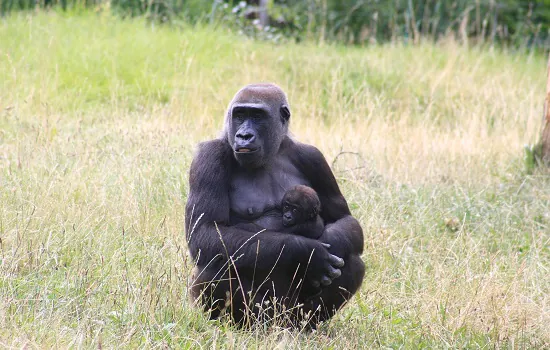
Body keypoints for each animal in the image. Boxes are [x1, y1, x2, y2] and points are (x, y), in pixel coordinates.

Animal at [185, 82, 366, 328]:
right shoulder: (208, 156)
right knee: (215, 260)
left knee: (353, 259)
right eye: (239, 115)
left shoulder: (314, 157)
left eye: (257, 116)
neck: (273, 152)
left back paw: (307, 327)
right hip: (262, 314)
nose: (244, 135)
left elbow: (344, 219)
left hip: (289, 314)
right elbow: (206, 232)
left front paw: (330, 241)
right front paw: (308, 252)